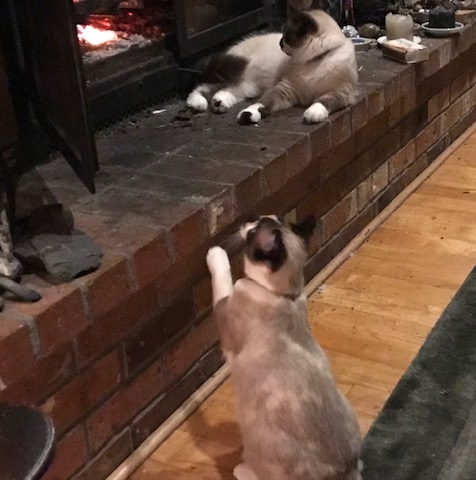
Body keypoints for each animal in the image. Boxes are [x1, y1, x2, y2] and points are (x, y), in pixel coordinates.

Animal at [205, 217, 360, 480]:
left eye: (253, 233)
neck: (282, 294)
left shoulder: (225, 312)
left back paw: (241, 469)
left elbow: (222, 277)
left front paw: (214, 251)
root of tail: (343, 472)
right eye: (257, 221)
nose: (245, 223)